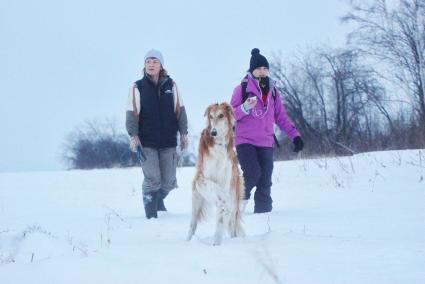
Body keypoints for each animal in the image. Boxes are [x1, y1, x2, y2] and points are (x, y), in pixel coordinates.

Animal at [186, 103, 245, 245]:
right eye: (211, 116)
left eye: (221, 115)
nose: (213, 132)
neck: (219, 145)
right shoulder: (201, 178)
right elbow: (215, 188)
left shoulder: (226, 181)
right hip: (196, 200)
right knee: (192, 225)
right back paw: (188, 241)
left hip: (234, 199)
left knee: (230, 224)